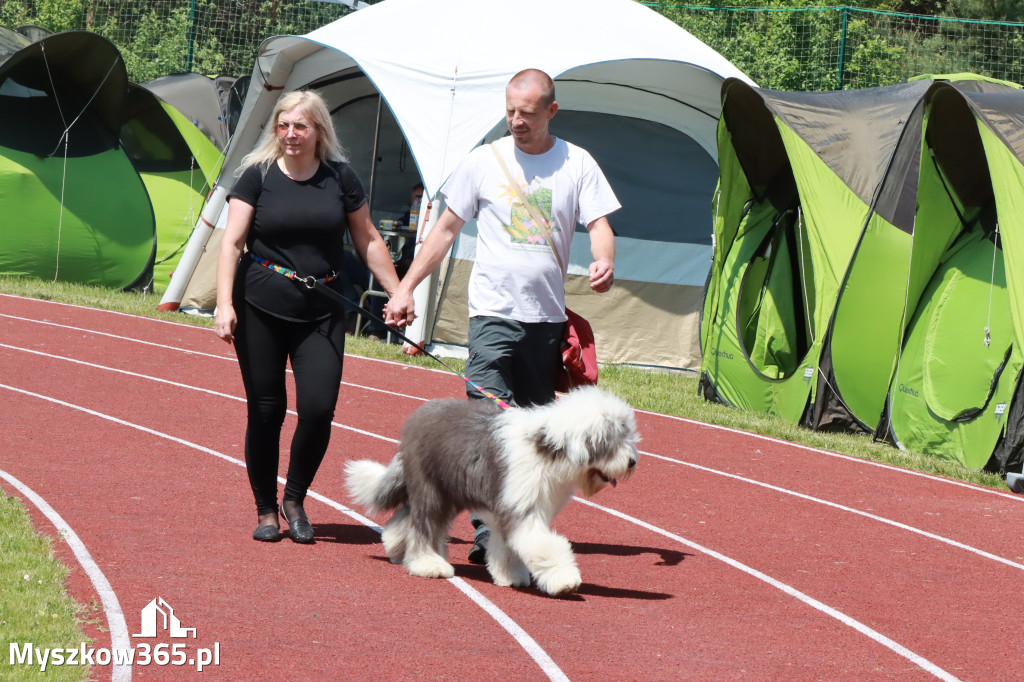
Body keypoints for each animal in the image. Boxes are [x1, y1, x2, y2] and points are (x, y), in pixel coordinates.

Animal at [348, 385, 634, 593]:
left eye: (627, 435)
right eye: (612, 439)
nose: (632, 462)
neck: (547, 449)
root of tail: (419, 417)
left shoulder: (509, 508)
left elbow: (507, 547)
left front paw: (510, 576)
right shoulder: (522, 510)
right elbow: (544, 544)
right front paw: (565, 580)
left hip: (447, 491)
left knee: (407, 517)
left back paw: (396, 546)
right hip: (432, 489)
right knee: (424, 526)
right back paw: (428, 564)